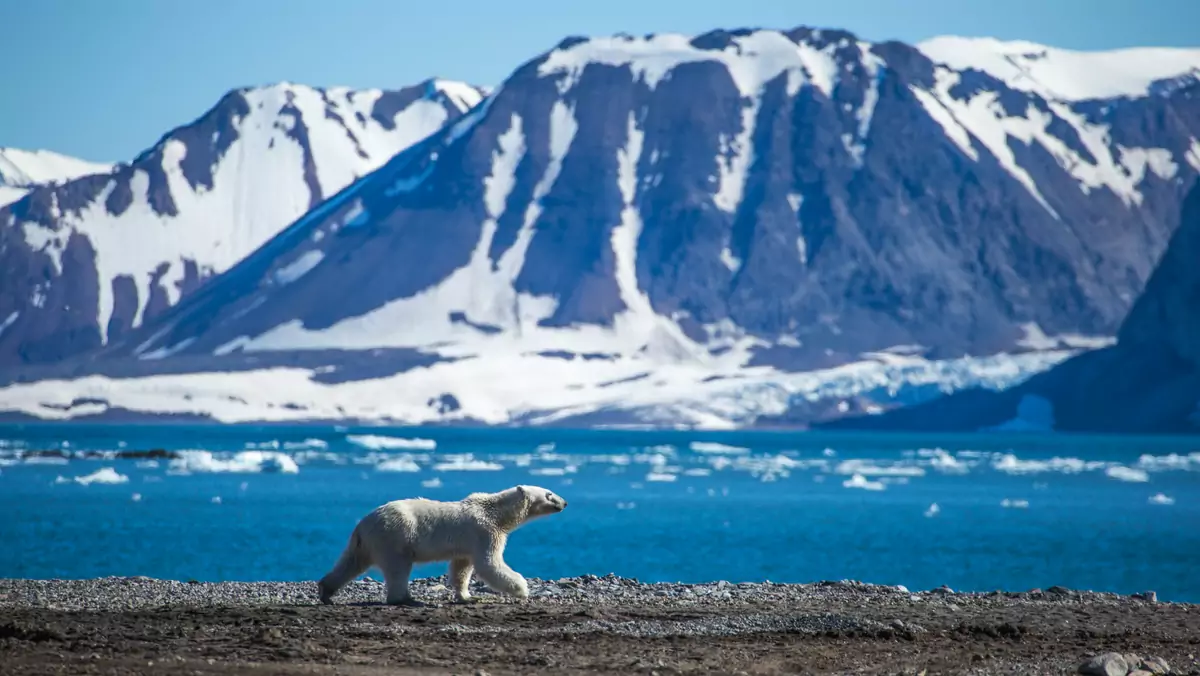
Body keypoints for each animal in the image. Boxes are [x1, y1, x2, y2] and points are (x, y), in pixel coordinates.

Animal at [316, 485, 564, 605]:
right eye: (549, 494)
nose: (564, 502)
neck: (495, 513)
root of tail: (363, 523)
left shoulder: (467, 543)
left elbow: (462, 568)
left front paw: (467, 596)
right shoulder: (484, 532)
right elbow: (489, 563)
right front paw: (522, 589)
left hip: (365, 543)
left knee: (351, 562)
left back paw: (326, 592)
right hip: (395, 537)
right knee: (398, 568)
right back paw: (406, 599)